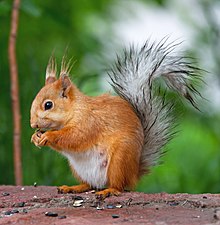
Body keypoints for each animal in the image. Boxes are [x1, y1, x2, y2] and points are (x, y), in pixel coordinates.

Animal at [30, 39, 202, 199]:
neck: (75, 110)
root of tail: (134, 174)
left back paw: (109, 190)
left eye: (48, 105)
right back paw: (74, 187)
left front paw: (48, 136)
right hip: (78, 169)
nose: (33, 124)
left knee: (118, 186)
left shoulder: (89, 123)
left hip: (119, 161)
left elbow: (74, 138)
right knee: (89, 185)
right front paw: (35, 137)